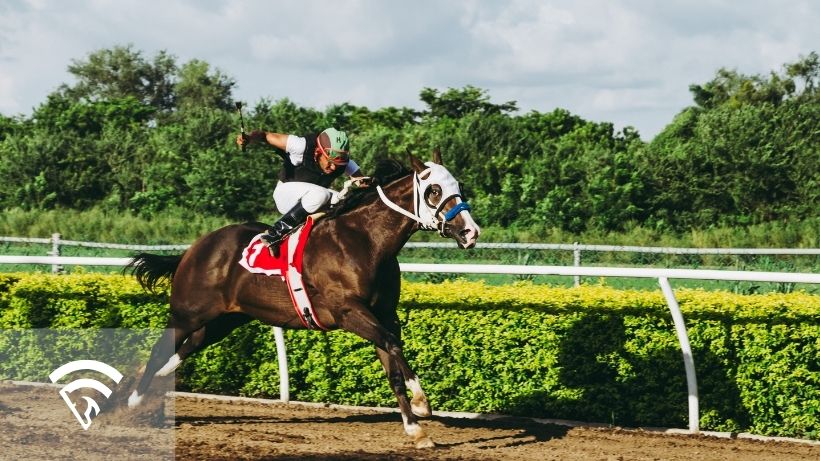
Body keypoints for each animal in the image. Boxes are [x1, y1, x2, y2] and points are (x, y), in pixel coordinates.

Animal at [125, 151, 480, 448]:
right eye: (434, 190)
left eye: (459, 186)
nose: (471, 232)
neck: (365, 242)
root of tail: (194, 249)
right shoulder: (349, 313)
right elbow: (392, 346)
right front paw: (422, 404)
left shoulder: (384, 315)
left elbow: (392, 362)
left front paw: (416, 430)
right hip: (187, 314)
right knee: (160, 349)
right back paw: (133, 401)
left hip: (222, 321)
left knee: (182, 351)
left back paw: (152, 388)